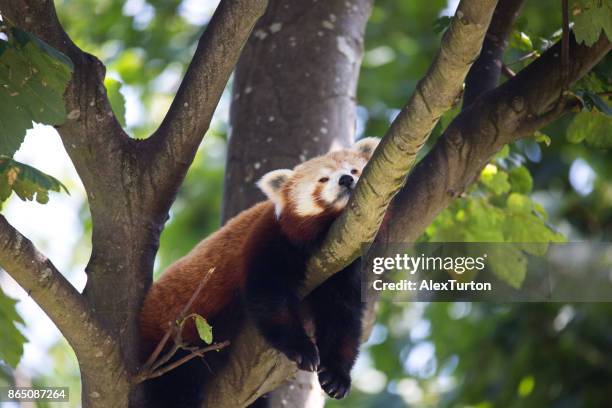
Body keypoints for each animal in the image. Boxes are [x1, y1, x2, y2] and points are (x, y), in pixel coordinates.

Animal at [140, 136, 378, 404]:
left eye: (354, 170)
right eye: (323, 179)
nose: (346, 179)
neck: (326, 234)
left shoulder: (344, 262)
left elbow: (342, 316)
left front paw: (337, 375)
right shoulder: (269, 237)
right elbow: (267, 295)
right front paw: (302, 348)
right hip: (171, 345)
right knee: (174, 386)